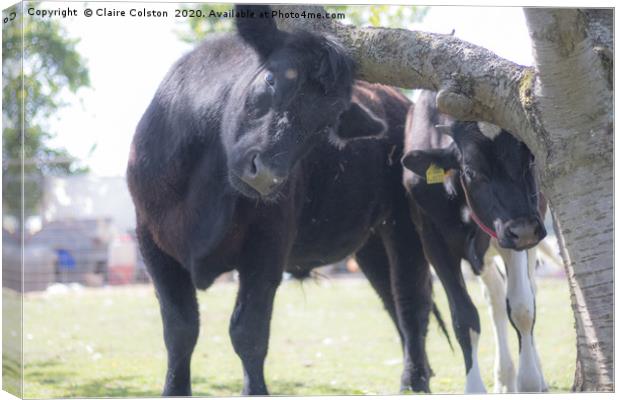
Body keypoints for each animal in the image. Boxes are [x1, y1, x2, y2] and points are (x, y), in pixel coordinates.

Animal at [127, 4, 436, 396]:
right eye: (272, 79)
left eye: (326, 123)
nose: (267, 176)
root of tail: (398, 101)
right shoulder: (151, 241)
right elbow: (180, 330)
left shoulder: (268, 244)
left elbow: (248, 332)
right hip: (370, 242)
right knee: (391, 299)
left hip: (404, 223)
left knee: (411, 301)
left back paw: (415, 381)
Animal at [402, 90, 548, 390]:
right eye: (470, 171)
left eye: (529, 160)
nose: (524, 229)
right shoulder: (434, 243)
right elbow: (464, 318)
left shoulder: (516, 240)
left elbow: (522, 307)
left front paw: (529, 381)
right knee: (495, 300)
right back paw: (504, 379)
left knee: (528, 291)